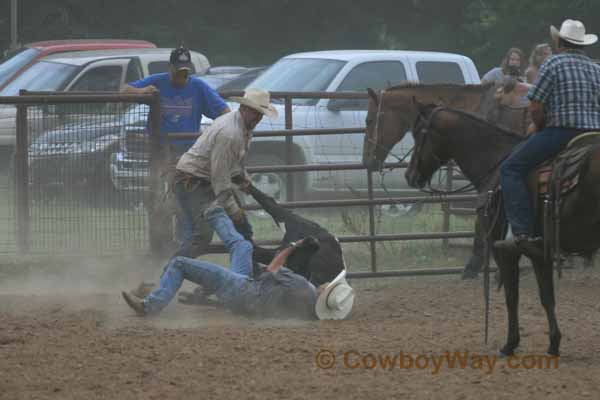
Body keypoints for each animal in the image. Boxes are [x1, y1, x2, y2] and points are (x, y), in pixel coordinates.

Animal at [404, 103, 600, 356]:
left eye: (419, 134)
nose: (409, 176)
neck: (495, 164)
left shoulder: (503, 250)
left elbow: (511, 296)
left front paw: (510, 343)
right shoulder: (540, 252)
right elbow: (547, 297)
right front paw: (554, 343)